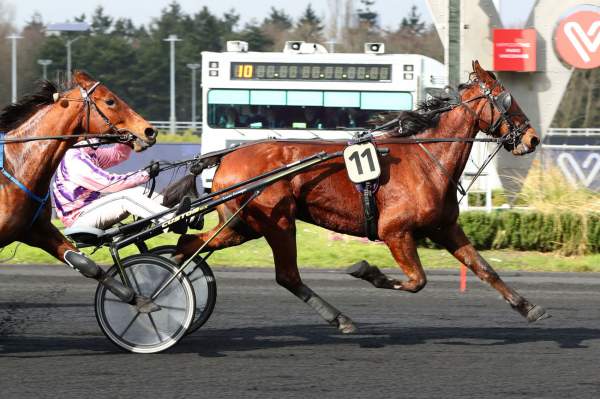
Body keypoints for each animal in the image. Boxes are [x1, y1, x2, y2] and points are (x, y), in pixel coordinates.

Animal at [0, 69, 157, 306]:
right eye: (110, 100)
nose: (149, 131)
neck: (15, 165)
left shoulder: (36, 229)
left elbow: (85, 264)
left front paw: (137, 298)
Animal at [175, 61, 548, 332]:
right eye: (507, 99)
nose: (532, 138)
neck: (428, 159)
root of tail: (227, 157)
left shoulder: (445, 228)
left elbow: (485, 269)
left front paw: (529, 307)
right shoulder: (394, 231)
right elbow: (417, 281)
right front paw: (368, 271)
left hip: (243, 226)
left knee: (188, 245)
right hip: (276, 222)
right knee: (287, 275)